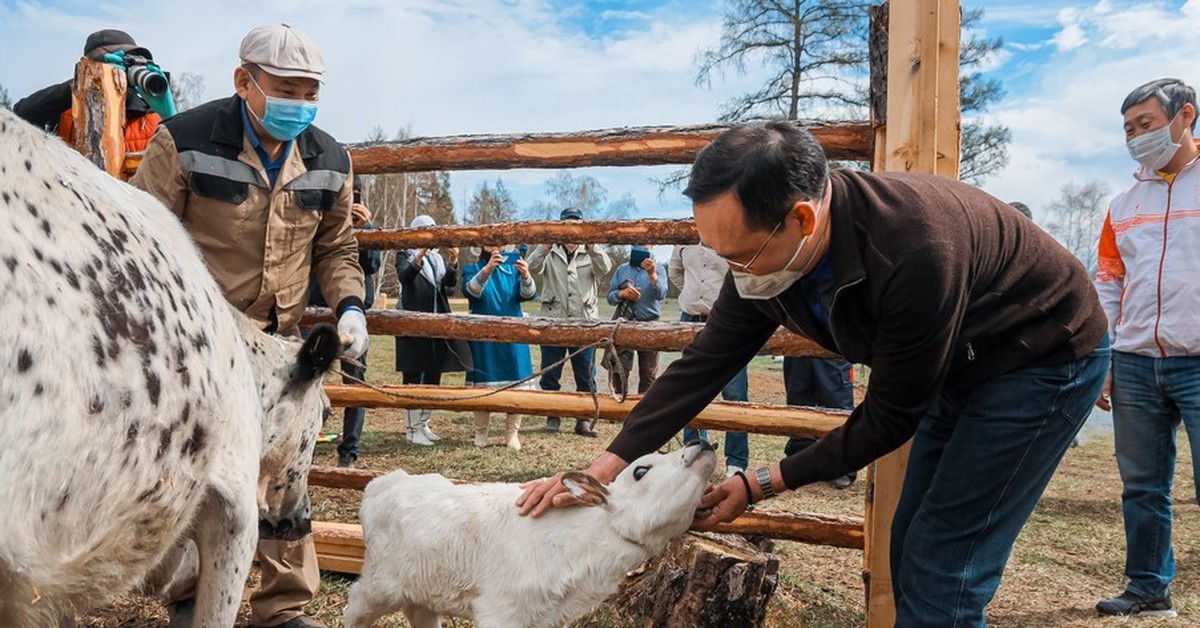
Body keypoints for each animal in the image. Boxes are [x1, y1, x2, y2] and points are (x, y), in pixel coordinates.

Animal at [343, 441, 715, 628]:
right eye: (641, 470)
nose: (702, 443)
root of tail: (387, 481)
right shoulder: (501, 612)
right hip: (379, 585)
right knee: (353, 608)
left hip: (423, 590)